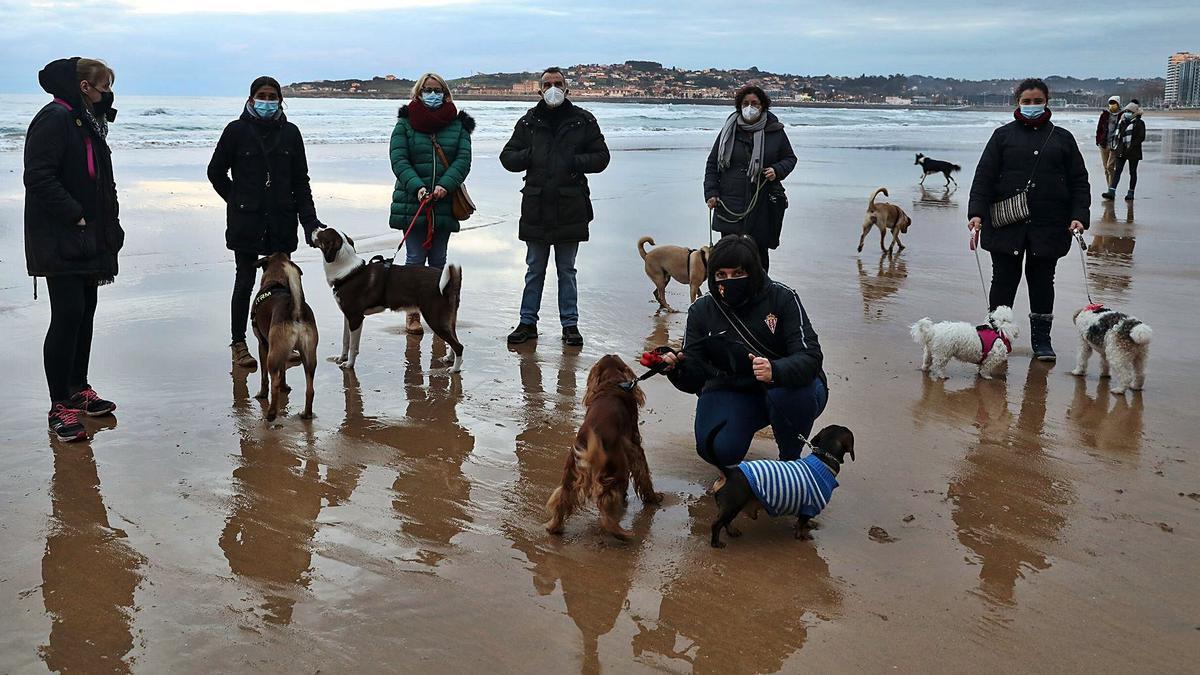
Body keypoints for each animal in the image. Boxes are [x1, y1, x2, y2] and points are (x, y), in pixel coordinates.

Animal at [249, 252, 319, 420]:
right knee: (310, 389)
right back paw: (306, 414)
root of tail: (296, 311)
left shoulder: (263, 345)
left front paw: (262, 394)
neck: (276, 282)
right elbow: (283, 372)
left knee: (273, 381)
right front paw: (285, 387)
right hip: (309, 355)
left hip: (272, 355)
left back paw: (271, 414)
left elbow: (264, 377)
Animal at [314, 228, 463, 369]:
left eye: (322, 234)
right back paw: (450, 358)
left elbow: (353, 346)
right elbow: (345, 340)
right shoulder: (348, 316)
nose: (315, 228)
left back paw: (455, 369)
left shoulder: (356, 318)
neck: (349, 272)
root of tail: (450, 283)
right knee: (455, 340)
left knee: (459, 346)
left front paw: (349, 364)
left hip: (435, 319)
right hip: (448, 319)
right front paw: (341, 358)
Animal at [547, 355, 662, 538]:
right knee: (608, 510)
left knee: (562, 498)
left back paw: (554, 527)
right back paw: (623, 533)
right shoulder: (635, 445)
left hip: (571, 474)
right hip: (617, 472)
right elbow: (644, 474)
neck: (612, 382)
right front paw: (653, 497)